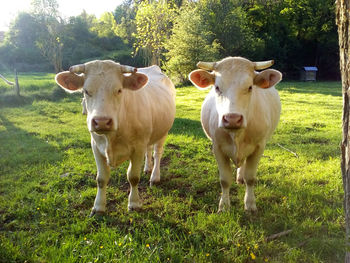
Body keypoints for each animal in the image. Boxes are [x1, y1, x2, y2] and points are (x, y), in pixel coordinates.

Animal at [56, 60, 176, 216]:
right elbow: (101, 178)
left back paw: (154, 176)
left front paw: (134, 203)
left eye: (119, 90)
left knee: (157, 153)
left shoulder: (138, 147)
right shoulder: (95, 146)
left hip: (163, 132)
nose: (101, 121)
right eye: (86, 91)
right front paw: (98, 207)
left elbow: (133, 177)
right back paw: (147, 168)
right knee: (149, 150)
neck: (111, 137)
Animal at [189, 56, 282, 212]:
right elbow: (225, 180)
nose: (232, 118)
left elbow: (250, 178)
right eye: (217, 87)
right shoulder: (217, 147)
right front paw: (224, 206)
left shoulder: (259, 147)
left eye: (250, 87)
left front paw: (250, 204)